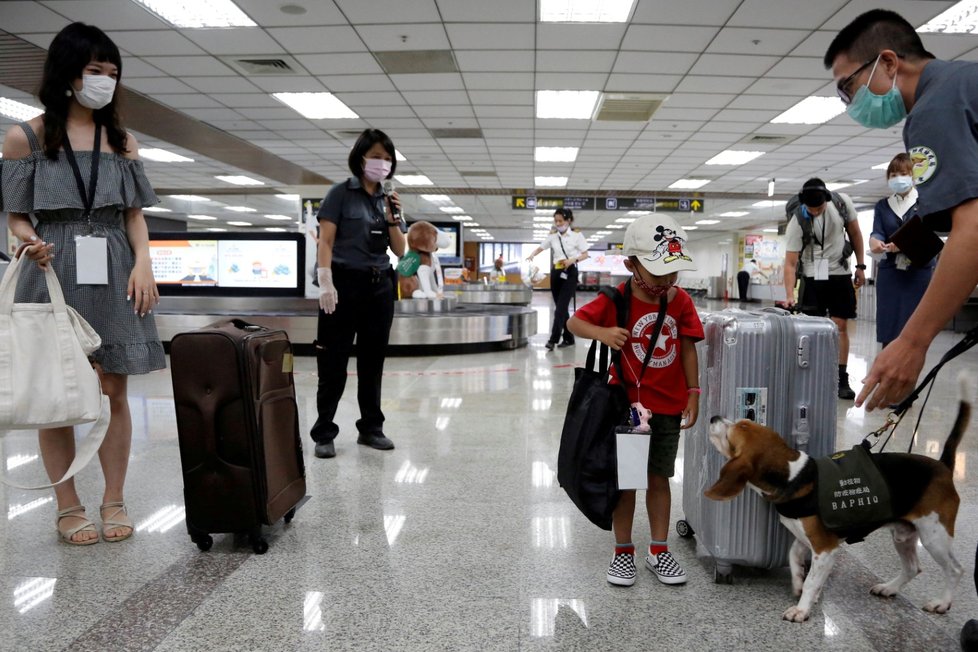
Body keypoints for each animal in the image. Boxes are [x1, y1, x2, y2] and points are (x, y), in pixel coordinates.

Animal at [700, 374, 968, 624]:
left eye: (731, 434)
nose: (713, 417)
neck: (795, 476)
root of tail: (943, 467)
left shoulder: (825, 548)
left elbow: (812, 580)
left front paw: (802, 609)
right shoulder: (804, 539)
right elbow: (794, 558)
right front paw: (798, 584)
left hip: (934, 536)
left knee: (955, 570)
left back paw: (942, 603)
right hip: (903, 535)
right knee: (913, 567)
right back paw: (888, 588)